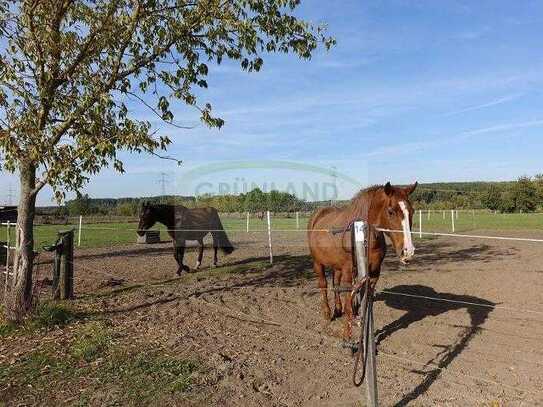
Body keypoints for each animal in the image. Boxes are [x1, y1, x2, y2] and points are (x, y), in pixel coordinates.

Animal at [308, 182, 418, 338]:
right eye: (391, 211)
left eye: (412, 211)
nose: (408, 251)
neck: (364, 237)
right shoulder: (348, 272)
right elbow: (349, 303)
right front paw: (346, 335)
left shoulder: (373, 273)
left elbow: (365, 305)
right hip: (318, 263)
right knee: (323, 284)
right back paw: (327, 313)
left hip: (337, 267)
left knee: (336, 285)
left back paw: (337, 310)